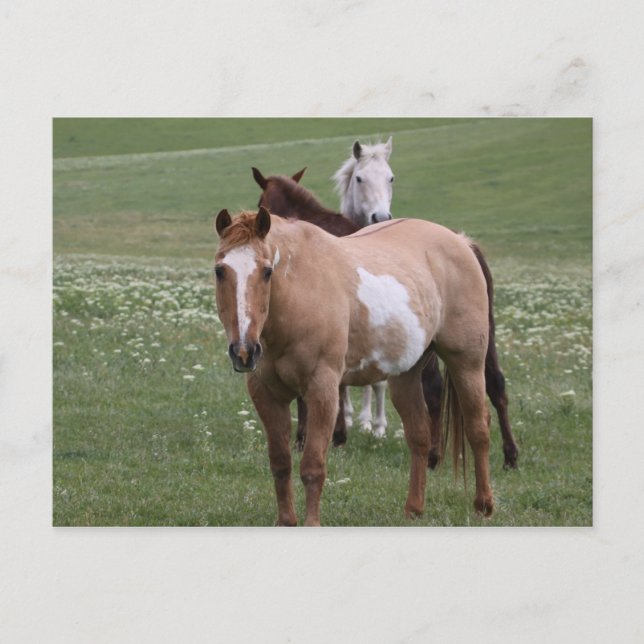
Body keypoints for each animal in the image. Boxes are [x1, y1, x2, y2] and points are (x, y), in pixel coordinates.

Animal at [214, 207, 494, 526]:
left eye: (266, 271)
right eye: (220, 270)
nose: (244, 351)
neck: (301, 292)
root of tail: (460, 242)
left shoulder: (322, 390)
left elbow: (312, 466)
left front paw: (311, 524)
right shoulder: (266, 394)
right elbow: (281, 463)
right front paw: (287, 521)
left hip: (467, 364)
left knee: (478, 429)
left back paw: (484, 504)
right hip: (405, 375)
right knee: (419, 436)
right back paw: (414, 508)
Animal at [253, 167, 519, 469]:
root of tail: (463, 243)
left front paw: (309, 438)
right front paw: (339, 434)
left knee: (435, 390)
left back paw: (434, 454)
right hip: (480, 335)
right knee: (495, 384)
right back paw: (509, 455)